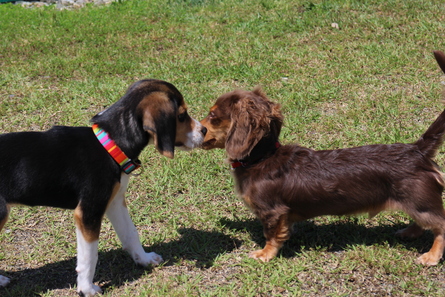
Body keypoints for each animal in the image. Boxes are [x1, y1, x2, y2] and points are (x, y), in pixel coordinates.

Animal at [0, 78, 205, 294]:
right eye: (181, 116)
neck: (111, 144)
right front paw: (86, 289)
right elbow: (89, 257)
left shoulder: (115, 202)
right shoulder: (88, 212)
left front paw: (144, 259)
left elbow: (130, 233)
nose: (204, 130)